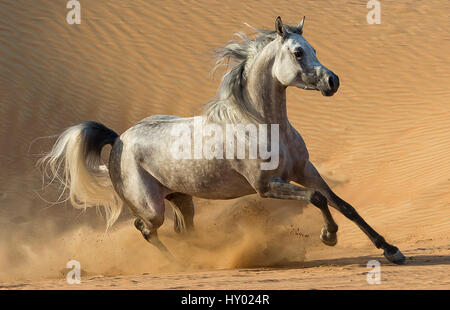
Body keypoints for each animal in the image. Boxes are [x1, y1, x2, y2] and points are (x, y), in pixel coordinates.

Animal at [37, 16, 404, 264]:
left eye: (315, 49)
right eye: (299, 52)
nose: (333, 81)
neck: (262, 124)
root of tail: (119, 140)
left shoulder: (304, 170)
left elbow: (343, 204)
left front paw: (391, 250)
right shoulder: (267, 185)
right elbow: (316, 199)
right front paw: (329, 237)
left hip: (181, 198)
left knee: (184, 230)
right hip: (151, 206)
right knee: (147, 229)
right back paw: (179, 264)